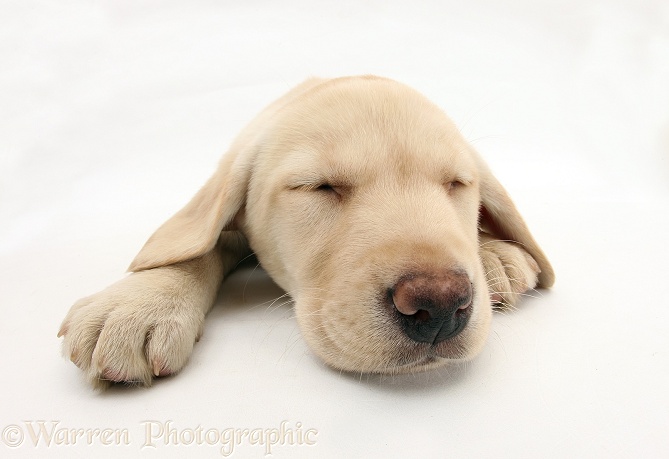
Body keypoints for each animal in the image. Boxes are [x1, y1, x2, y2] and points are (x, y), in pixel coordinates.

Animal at [58, 76, 552, 388]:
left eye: (456, 184)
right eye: (319, 186)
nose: (441, 305)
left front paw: (491, 250)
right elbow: (199, 243)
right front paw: (139, 304)